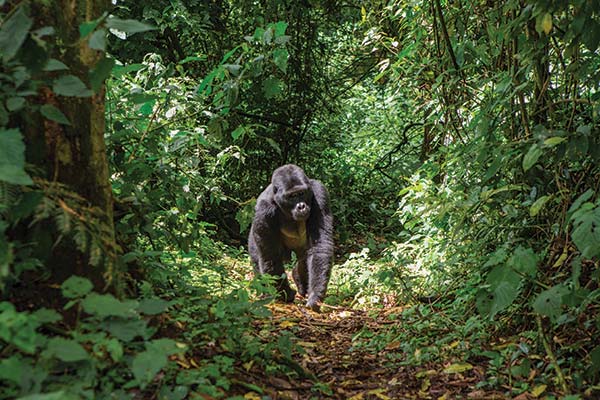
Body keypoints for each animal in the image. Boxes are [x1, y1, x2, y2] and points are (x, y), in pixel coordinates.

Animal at [247, 164, 332, 310]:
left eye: (302, 193)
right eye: (292, 196)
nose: (301, 206)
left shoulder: (319, 193)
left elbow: (319, 246)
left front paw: (315, 295)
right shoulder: (264, 210)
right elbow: (271, 257)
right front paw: (286, 294)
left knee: (303, 260)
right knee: (258, 259)